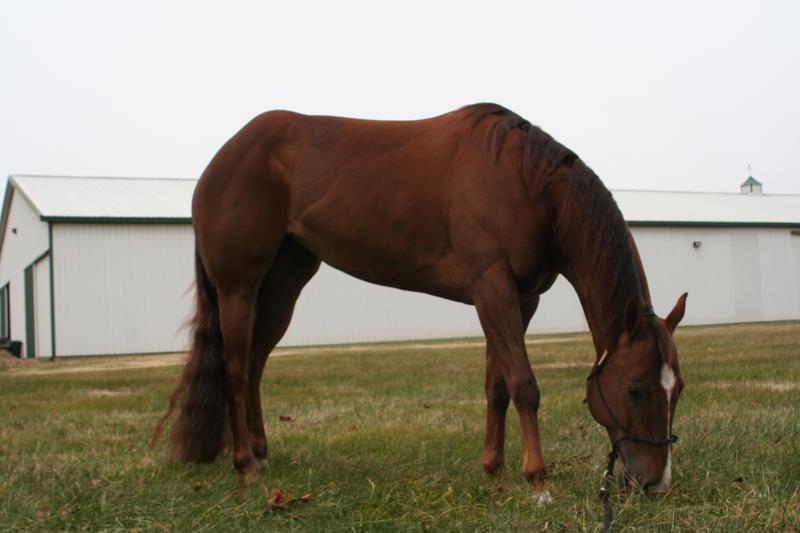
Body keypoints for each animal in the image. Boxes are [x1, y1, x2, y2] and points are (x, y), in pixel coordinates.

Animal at [155, 103, 687, 499]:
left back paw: (262, 453)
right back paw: (245, 464)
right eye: (636, 389)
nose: (656, 482)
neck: (524, 182)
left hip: (283, 285)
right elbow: (523, 383)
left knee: (254, 366)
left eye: (677, 388)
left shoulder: (521, 298)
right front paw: (538, 482)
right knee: (233, 369)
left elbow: (497, 383)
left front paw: (493, 467)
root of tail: (222, 159)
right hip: (238, 287)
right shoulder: (492, 287)